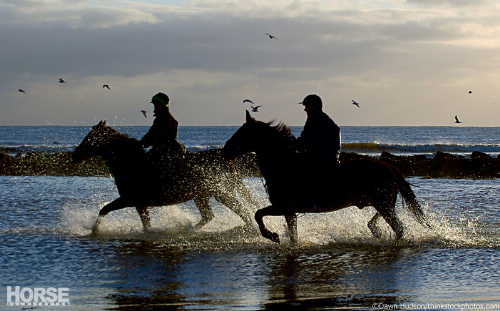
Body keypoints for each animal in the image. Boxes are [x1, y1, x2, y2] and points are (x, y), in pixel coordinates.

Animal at [74, 120, 258, 235]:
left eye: (90, 138)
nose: (76, 155)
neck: (130, 163)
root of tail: (227, 159)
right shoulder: (139, 204)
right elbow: (146, 225)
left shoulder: (128, 199)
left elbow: (104, 210)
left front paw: (94, 231)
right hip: (201, 195)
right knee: (209, 216)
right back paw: (189, 229)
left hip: (221, 192)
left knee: (242, 211)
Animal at [222, 111, 430, 245]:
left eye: (243, 133)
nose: (225, 150)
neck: (283, 165)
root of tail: (389, 166)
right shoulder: (289, 211)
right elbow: (292, 236)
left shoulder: (284, 206)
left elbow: (258, 214)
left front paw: (272, 235)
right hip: (381, 203)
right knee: (379, 222)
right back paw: (377, 232)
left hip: (383, 204)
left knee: (399, 228)